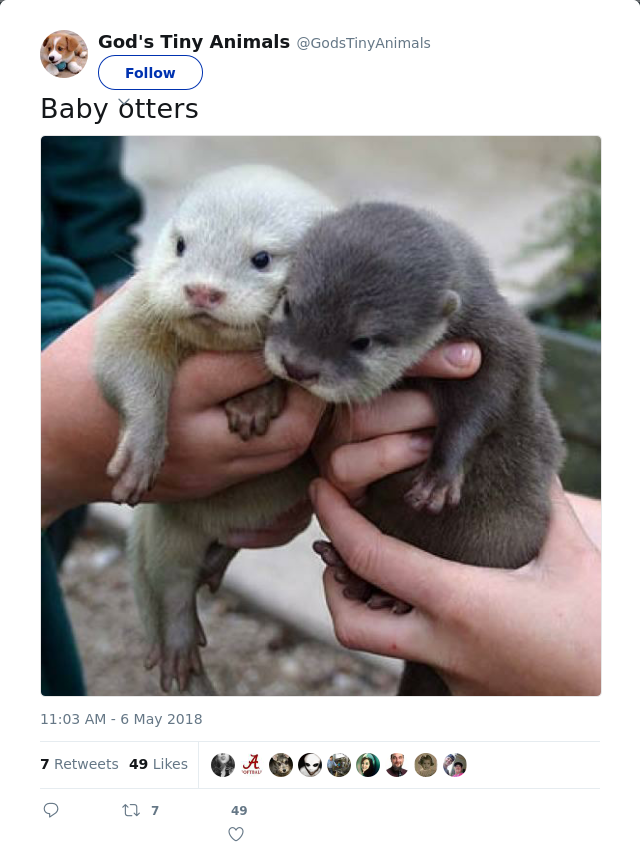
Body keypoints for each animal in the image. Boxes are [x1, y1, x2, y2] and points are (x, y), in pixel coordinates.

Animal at [94, 165, 333, 694]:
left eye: (262, 258)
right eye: (181, 243)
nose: (203, 290)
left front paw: (255, 401)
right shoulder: (138, 304)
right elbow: (119, 358)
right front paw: (141, 452)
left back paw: (215, 564)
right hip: (171, 525)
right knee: (172, 584)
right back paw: (181, 643)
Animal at [264, 201, 565, 696]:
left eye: (362, 340)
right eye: (288, 302)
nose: (299, 366)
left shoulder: (502, 340)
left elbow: (487, 400)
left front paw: (440, 476)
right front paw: (257, 399)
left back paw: (383, 595)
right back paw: (353, 576)